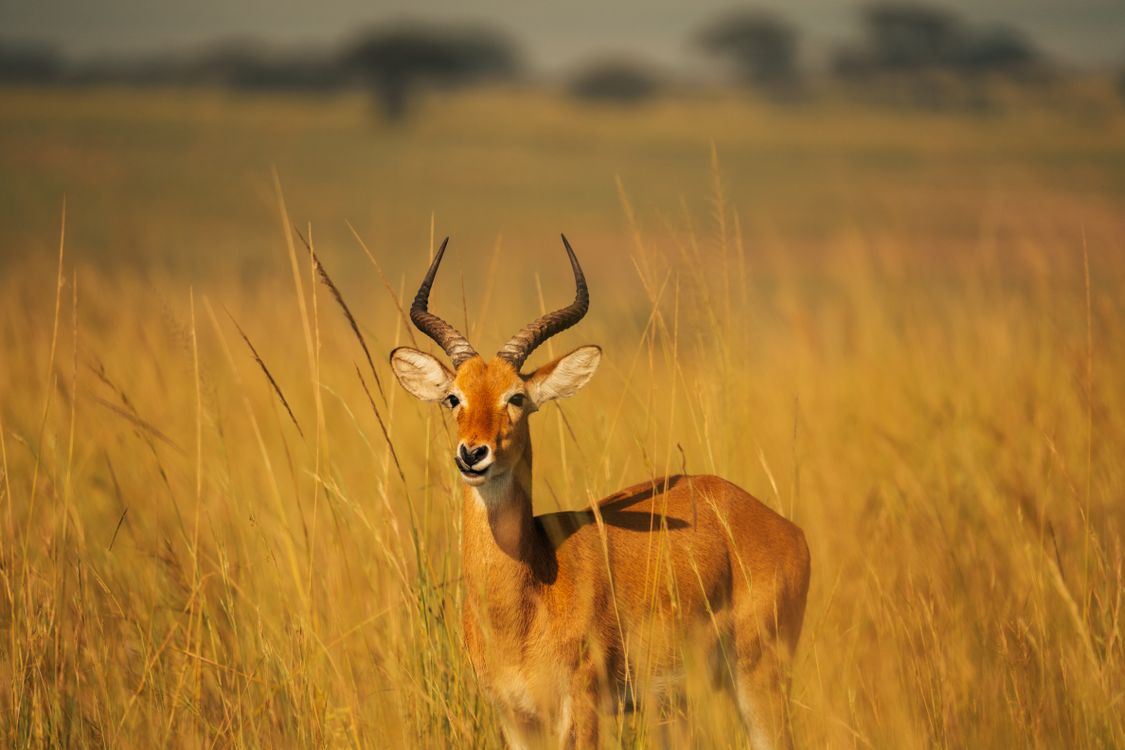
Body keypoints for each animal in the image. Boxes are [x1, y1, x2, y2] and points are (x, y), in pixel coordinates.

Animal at [389, 236, 811, 749]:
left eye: (516, 397)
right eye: (454, 397)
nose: (473, 453)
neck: (530, 590)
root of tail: (786, 529)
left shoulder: (582, 706)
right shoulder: (515, 717)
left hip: (757, 680)